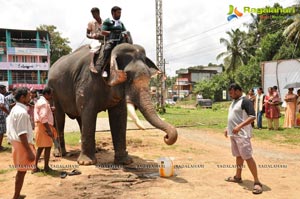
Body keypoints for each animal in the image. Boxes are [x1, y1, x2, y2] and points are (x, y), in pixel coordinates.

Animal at [47, 43, 177, 165]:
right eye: (128, 77)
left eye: (149, 78)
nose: (166, 137)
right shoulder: (86, 83)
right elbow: (89, 113)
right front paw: (86, 163)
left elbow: (119, 116)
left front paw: (125, 162)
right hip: (53, 92)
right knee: (59, 118)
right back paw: (61, 154)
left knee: (80, 118)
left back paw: (95, 150)